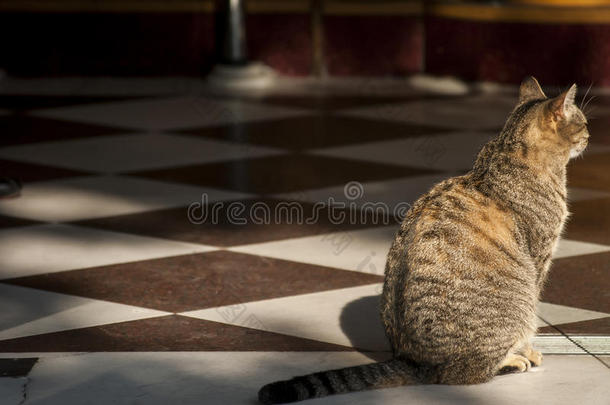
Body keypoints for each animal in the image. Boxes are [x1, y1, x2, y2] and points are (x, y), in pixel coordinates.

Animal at [258, 77, 588, 402]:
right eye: (583, 121)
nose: (590, 134)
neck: (508, 151)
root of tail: (413, 362)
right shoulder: (540, 259)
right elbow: (530, 320)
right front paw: (527, 349)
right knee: (467, 373)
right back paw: (511, 360)